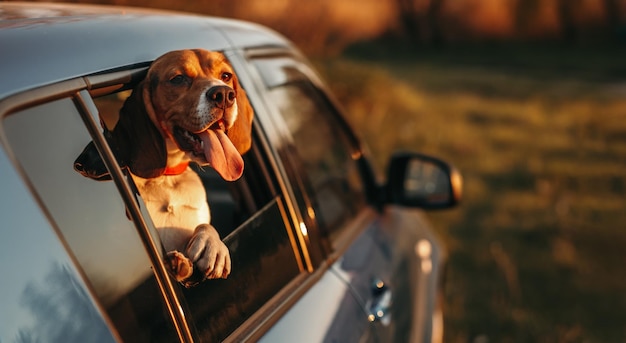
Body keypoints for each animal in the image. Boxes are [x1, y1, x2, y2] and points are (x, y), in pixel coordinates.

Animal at [75, 49, 254, 288]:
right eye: (178, 79)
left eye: (225, 76)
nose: (224, 94)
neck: (166, 178)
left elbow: (205, 226)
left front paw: (212, 247)